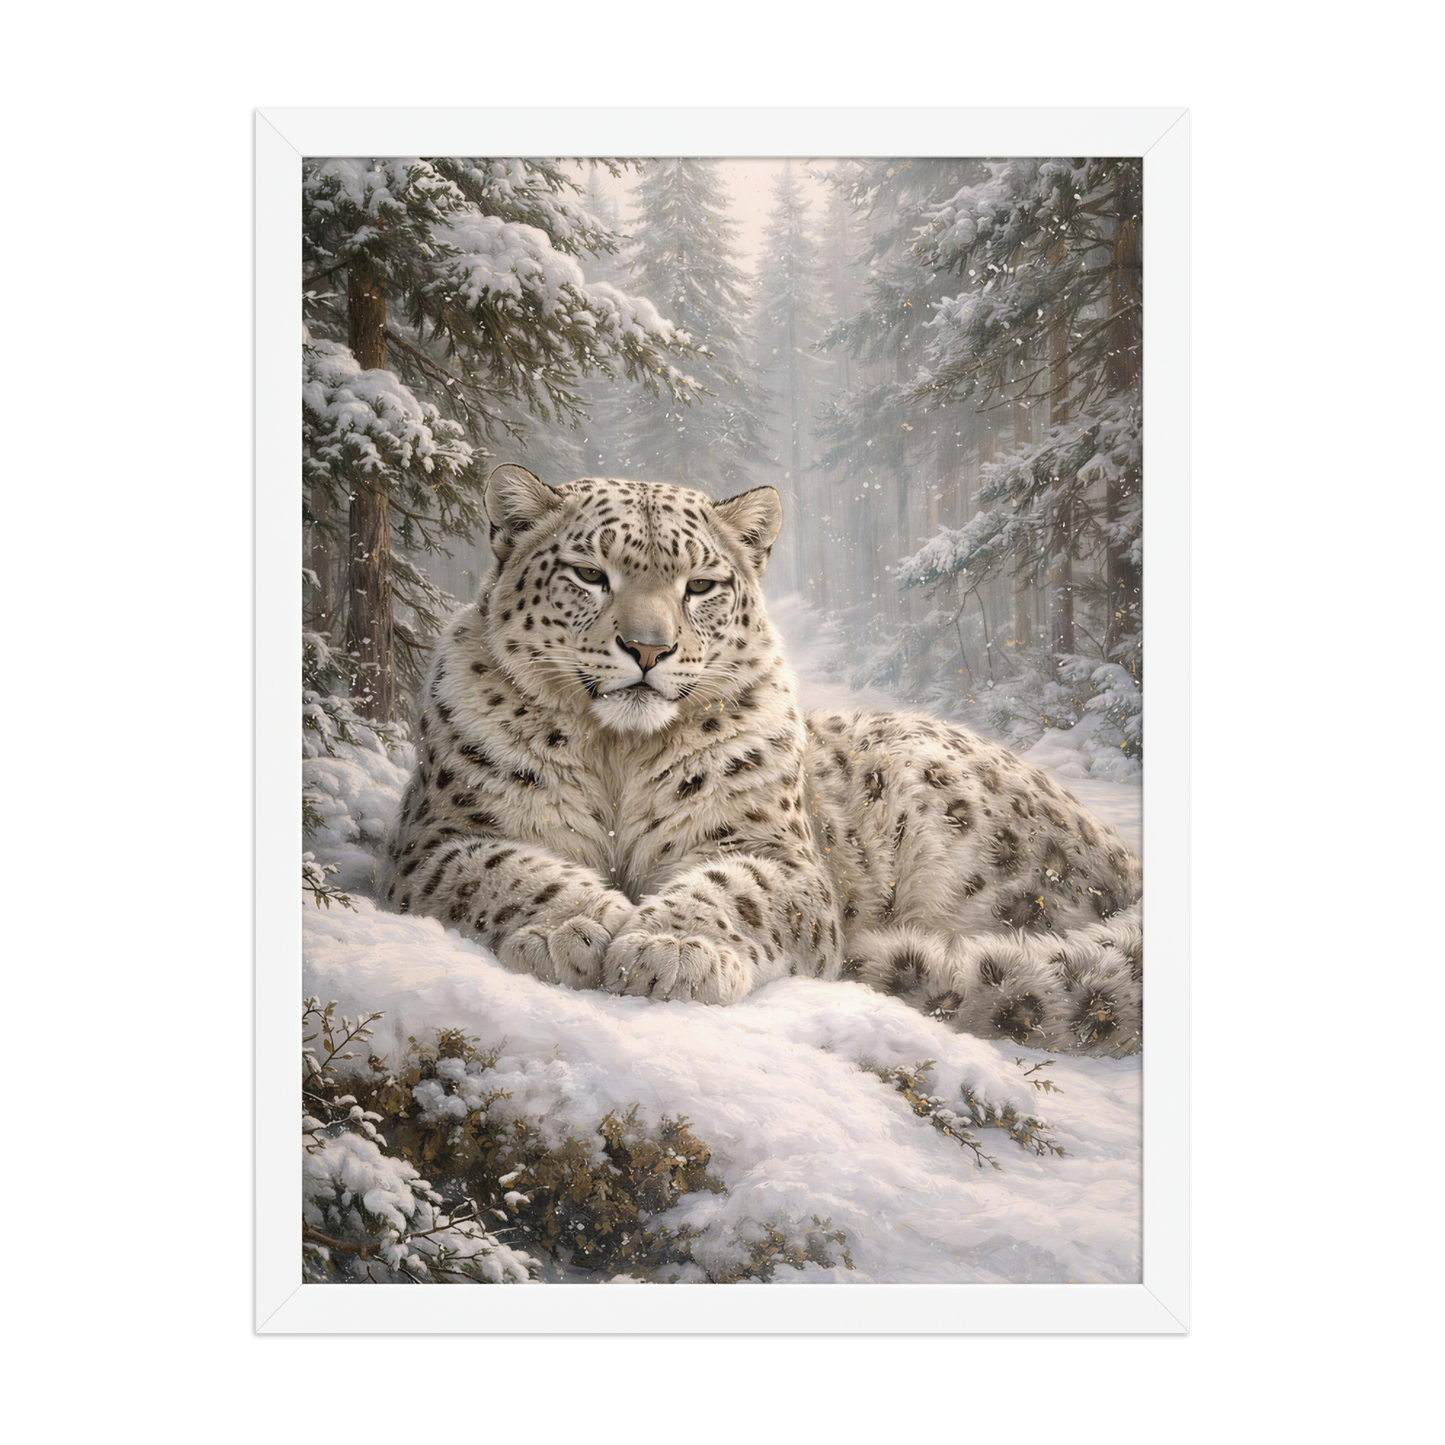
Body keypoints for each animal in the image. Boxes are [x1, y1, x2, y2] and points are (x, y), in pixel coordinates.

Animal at [378, 464, 1143, 1057]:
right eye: (590, 573)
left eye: (700, 584)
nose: (648, 647)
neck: (619, 753)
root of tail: (1122, 853)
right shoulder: (440, 838)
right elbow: (510, 870)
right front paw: (572, 930)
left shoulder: (774, 852)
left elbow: (733, 889)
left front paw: (669, 949)